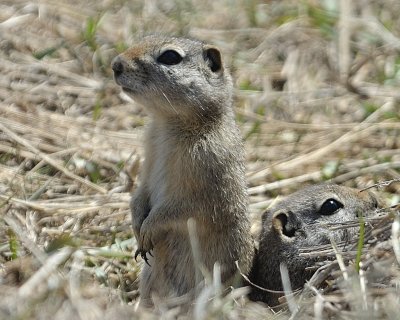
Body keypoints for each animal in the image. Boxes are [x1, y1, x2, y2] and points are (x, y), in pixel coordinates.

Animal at [110, 35, 253, 308]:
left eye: (170, 57)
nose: (115, 65)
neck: (168, 124)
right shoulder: (148, 161)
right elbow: (139, 194)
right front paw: (136, 225)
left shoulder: (200, 188)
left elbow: (176, 210)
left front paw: (147, 230)